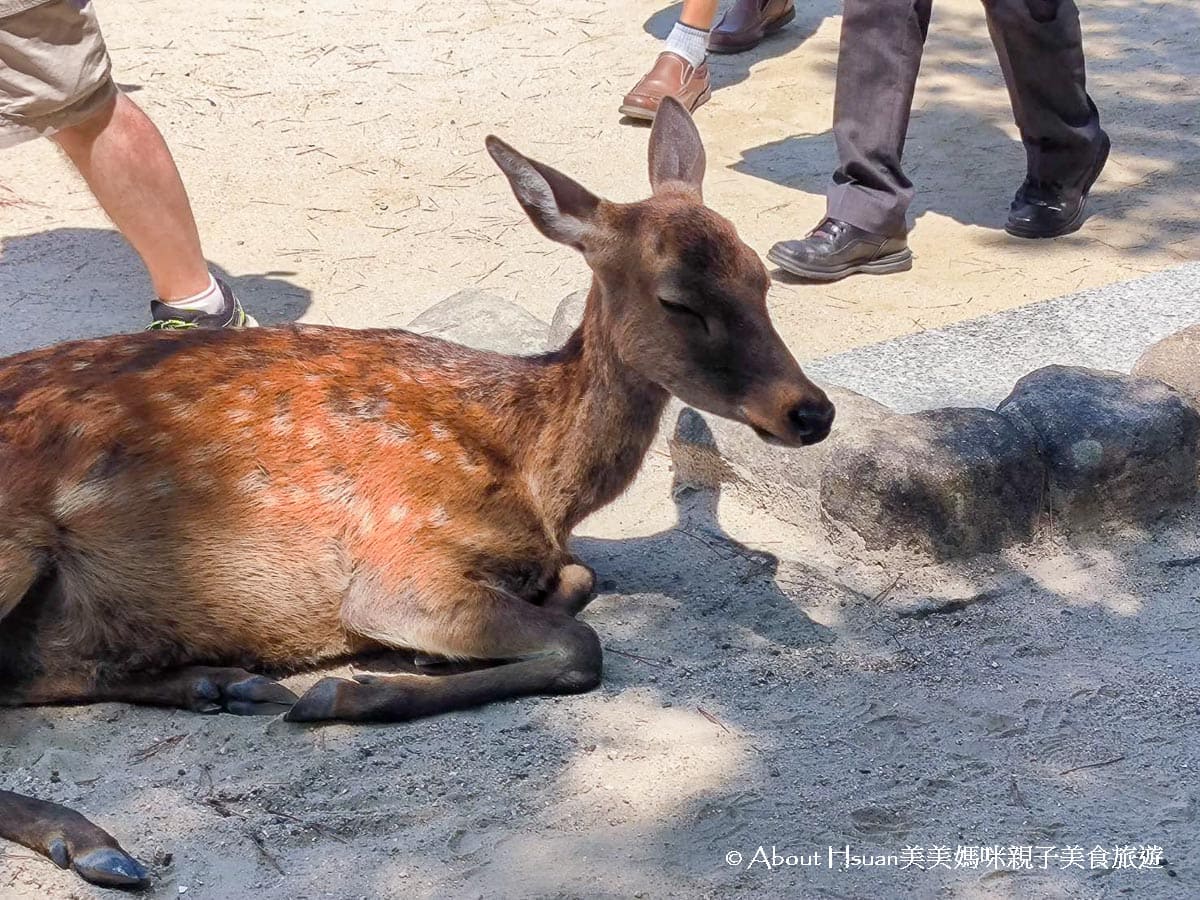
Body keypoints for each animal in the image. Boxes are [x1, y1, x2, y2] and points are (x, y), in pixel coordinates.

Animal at [0, 100, 835, 897]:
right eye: (678, 302)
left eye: (761, 276)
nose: (811, 411)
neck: (538, 474)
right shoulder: (398, 556)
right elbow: (581, 646)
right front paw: (353, 690)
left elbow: (581, 577)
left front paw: (422, 656)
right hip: (12, 546)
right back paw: (94, 840)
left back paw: (220, 683)